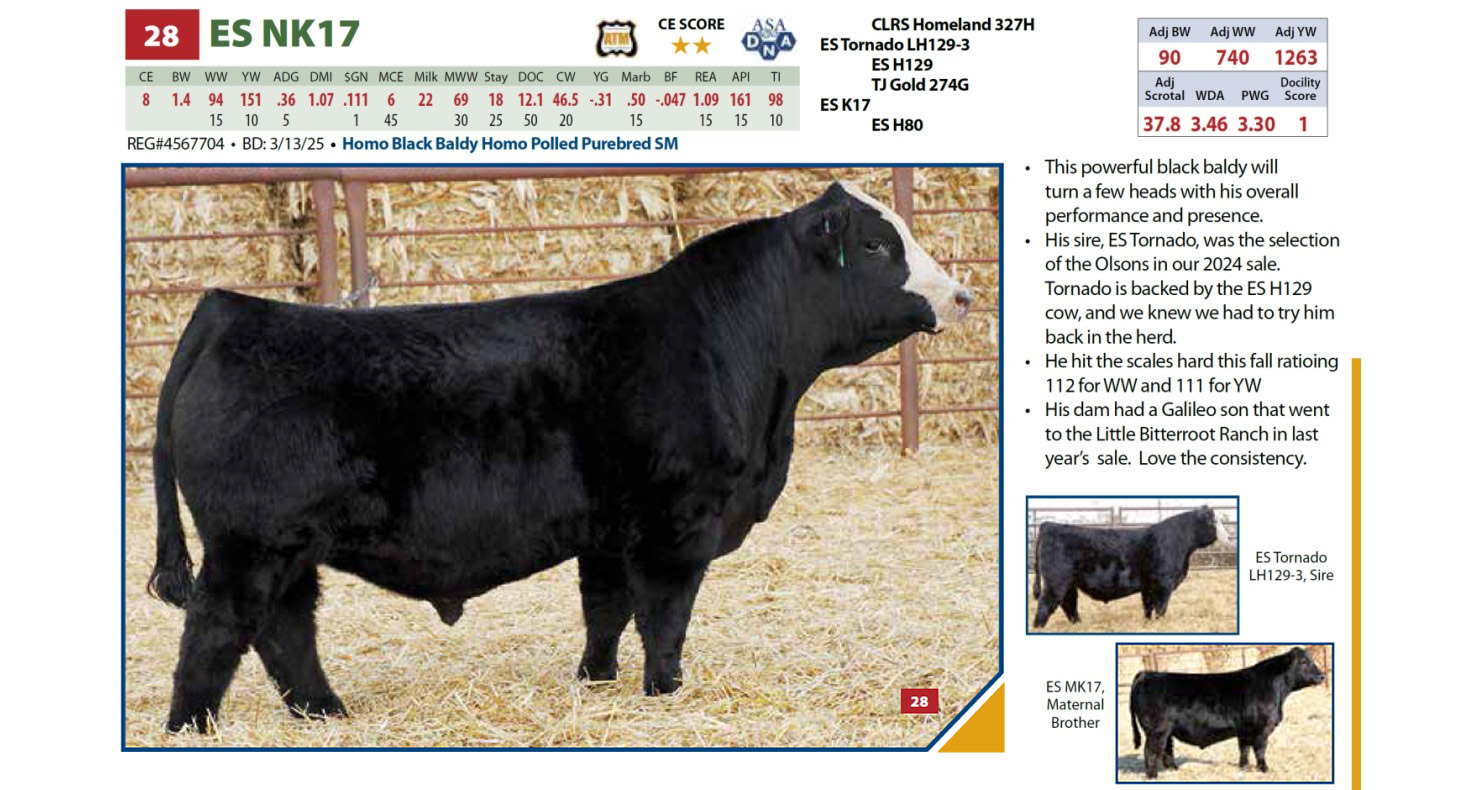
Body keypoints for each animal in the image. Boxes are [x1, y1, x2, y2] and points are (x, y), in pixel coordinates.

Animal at [145, 182, 971, 733]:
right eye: (877, 244)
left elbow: (604, 610)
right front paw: (664, 691)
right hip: (249, 544)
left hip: (289, 549)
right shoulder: (676, 523)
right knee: (217, 631)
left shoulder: (606, 530)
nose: (961, 295)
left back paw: (326, 712)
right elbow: (664, 615)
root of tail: (231, 308)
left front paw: (596, 682)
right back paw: (193, 727)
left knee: (286, 630)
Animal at [1032, 506, 1220, 628]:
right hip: (1056, 582)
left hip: (1068, 584)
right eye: (1214, 521)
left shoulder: (1148, 587)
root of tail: (1049, 524)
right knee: (1045, 607)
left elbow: (1148, 608)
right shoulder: (1163, 584)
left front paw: (1147, 624)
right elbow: (1160, 608)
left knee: (1069, 605)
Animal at [1129, 647, 1327, 778]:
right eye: (1303, 662)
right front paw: (1264, 769)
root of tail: (1146, 673)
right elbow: (1260, 749)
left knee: (1166, 750)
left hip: (1167, 730)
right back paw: (1153, 776)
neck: (1277, 691)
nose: (1322, 676)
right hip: (1157, 730)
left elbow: (1244, 749)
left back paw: (1174, 771)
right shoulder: (1262, 728)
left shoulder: (1245, 729)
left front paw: (1244, 768)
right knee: (1151, 751)